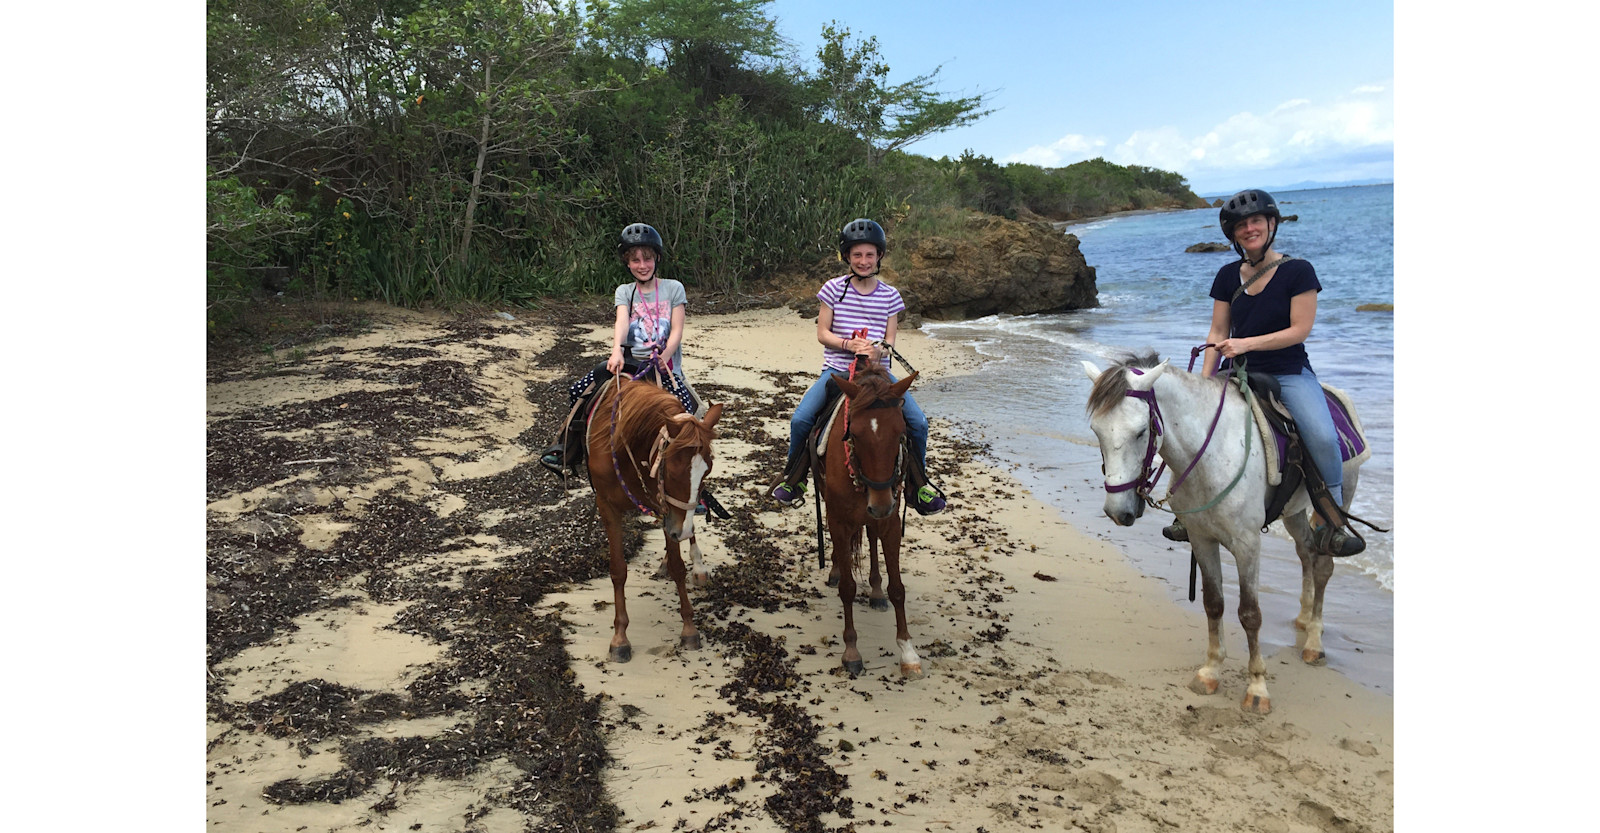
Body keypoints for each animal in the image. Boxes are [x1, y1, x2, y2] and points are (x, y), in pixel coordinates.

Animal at [588, 374, 726, 658]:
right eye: (671, 472)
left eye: (707, 472)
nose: (681, 531)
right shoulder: (608, 507)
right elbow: (618, 570)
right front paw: (620, 638)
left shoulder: (668, 510)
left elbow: (678, 566)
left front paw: (689, 629)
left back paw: (698, 567)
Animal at [825, 361, 928, 674]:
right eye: (854, 435)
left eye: (901, 433)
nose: (880, 505)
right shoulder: (839, 521)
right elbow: (847, 588)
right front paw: (851, 652)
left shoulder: (891, 522)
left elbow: (898, 588)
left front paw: (908, 651)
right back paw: (836, 570)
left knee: (871, 538)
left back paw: (875, 591)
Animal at [1081, 351, 1369, 713]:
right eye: (1096, 430)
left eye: (1140, 431)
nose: (1117, 512)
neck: (1212, 454)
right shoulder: (1202, 539)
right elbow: (1213, 604)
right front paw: (1210, 672)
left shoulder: (1247, 545)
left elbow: (1250, 614)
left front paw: (1257, 688)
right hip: (1294, 512)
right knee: (1306, 552)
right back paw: (1303, 619)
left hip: (1337, 497)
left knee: (1323, 565)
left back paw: (1314, 641)